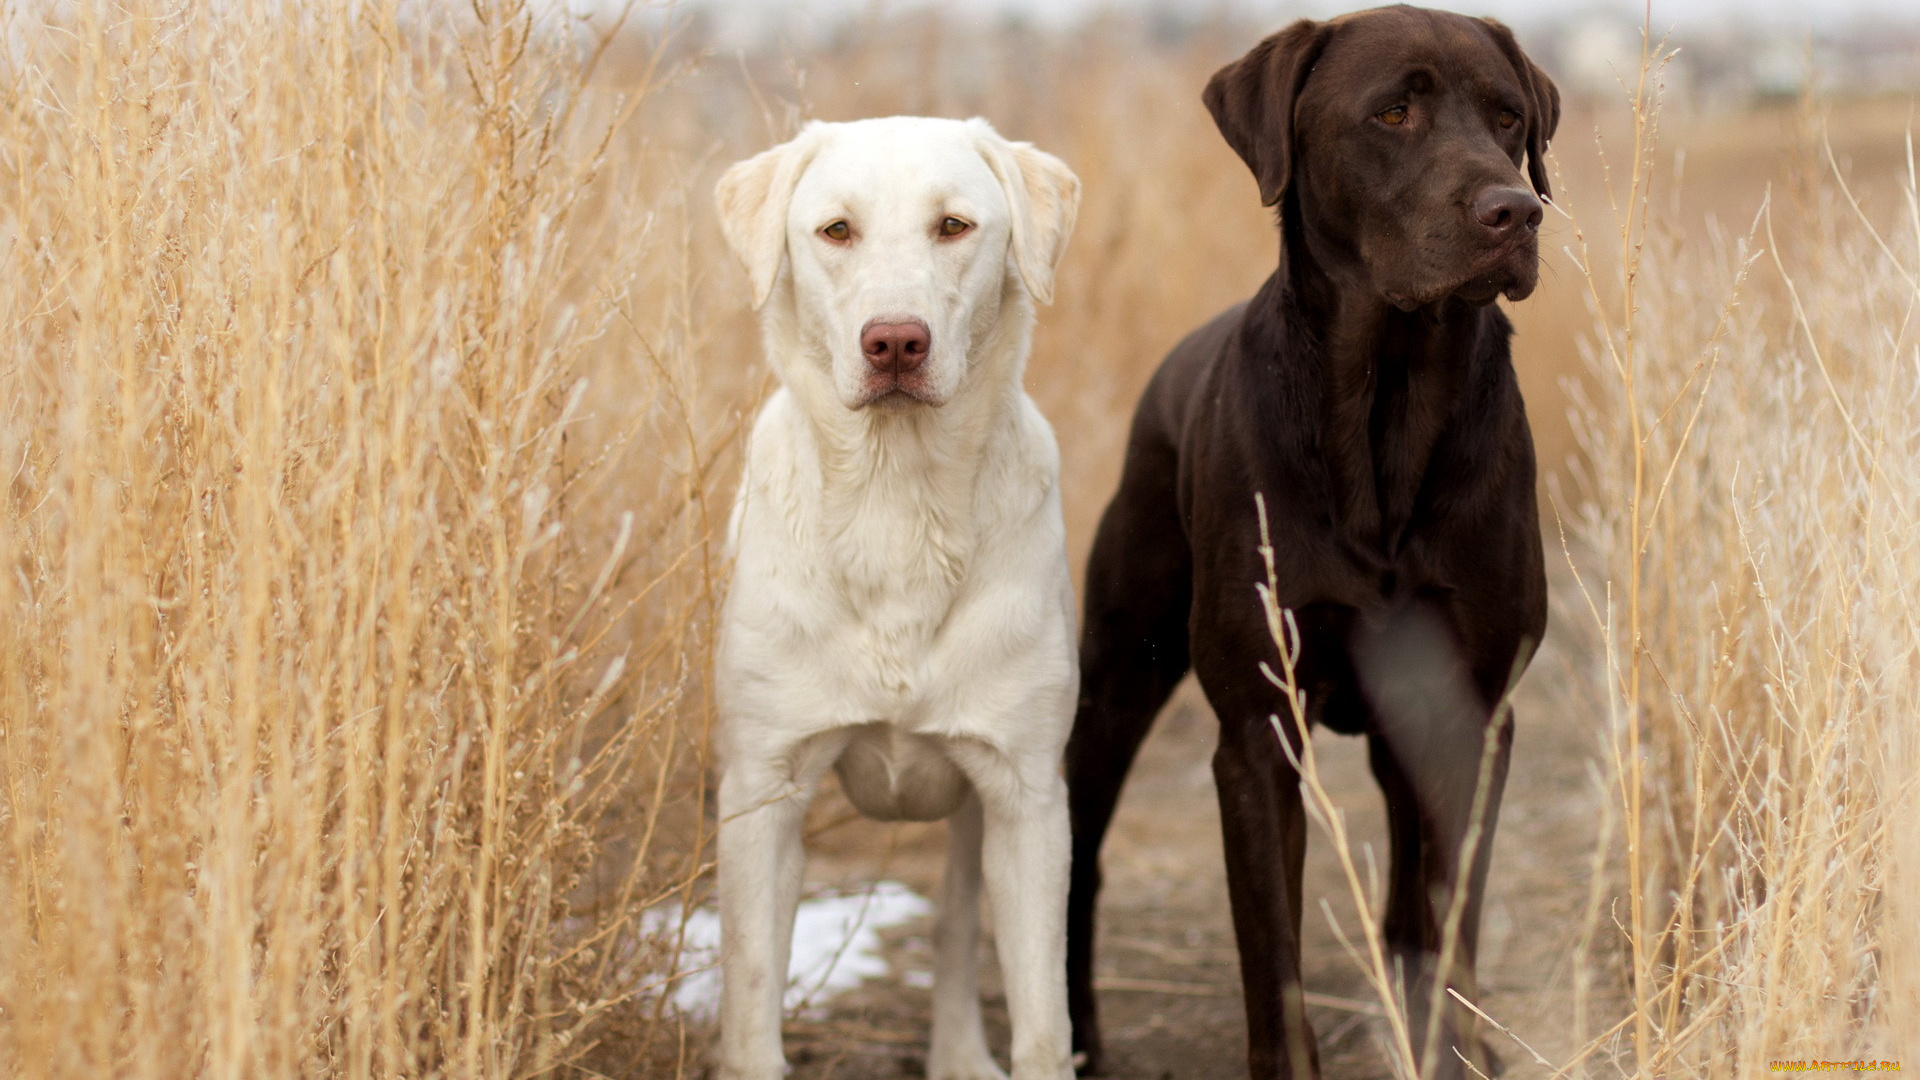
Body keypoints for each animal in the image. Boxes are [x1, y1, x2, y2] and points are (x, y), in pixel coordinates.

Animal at [714, 117, 1090, 1076]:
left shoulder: (1028, 798)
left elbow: (1043, 1023)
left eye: (954, 226)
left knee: (956, 927)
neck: (896, 501)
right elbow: (751, 997)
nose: (894, 342)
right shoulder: (762, 789)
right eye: (835, 231)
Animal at [1067, 8, 1559, 1076]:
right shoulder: (1257, 731)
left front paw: (1454, 1044)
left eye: (1508, 118)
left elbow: (1450, 915)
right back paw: (1074, 1031)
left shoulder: (1470, 712)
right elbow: (1273, 957)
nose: (1514, 212)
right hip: (1117, 675)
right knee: (1074, 859)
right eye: (1392, 114)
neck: (1386, 406)